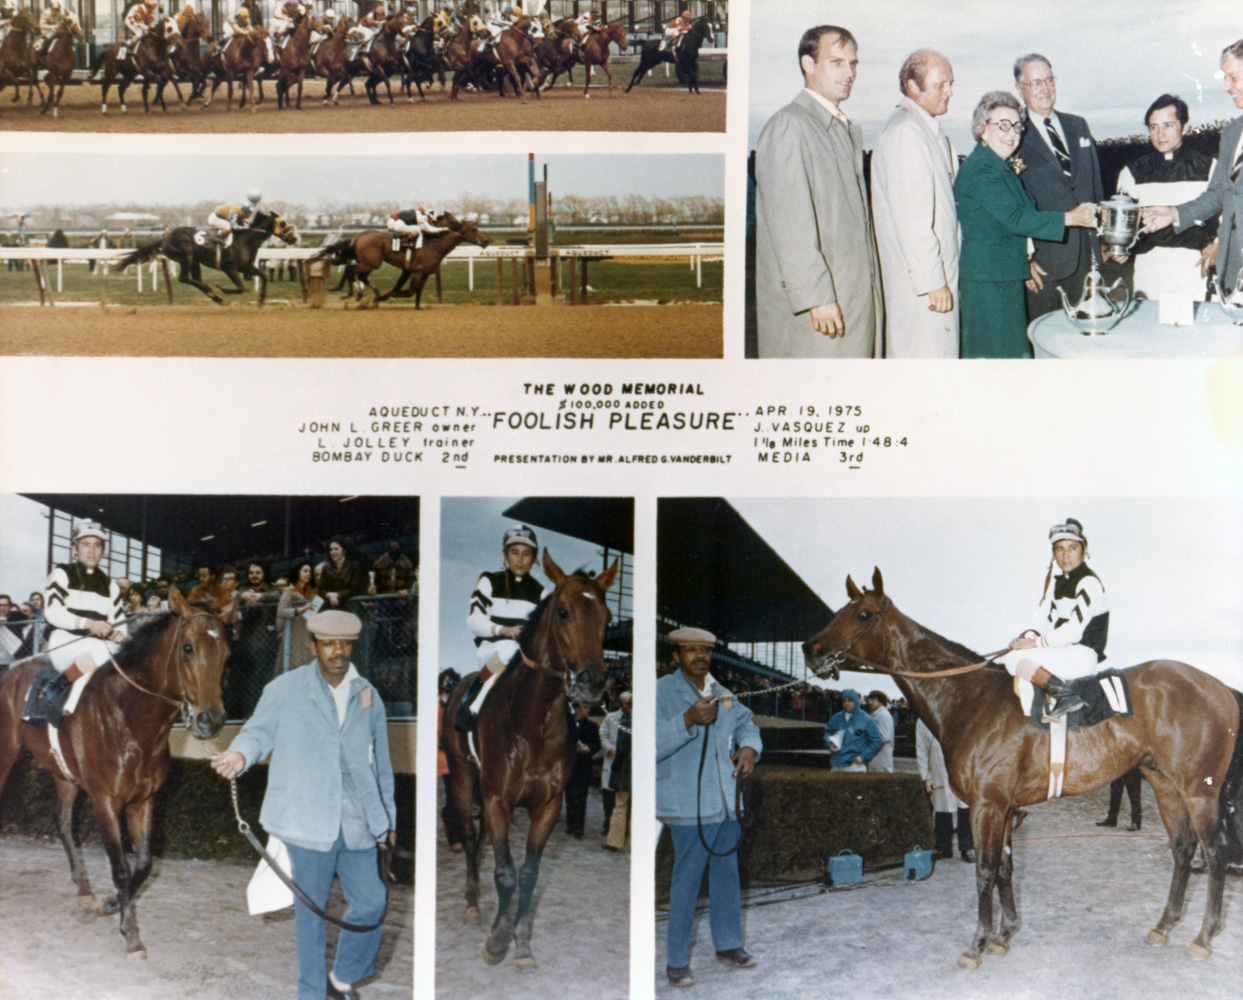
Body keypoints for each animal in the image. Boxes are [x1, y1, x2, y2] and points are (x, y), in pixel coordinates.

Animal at [0, 588, 233, 954]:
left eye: (226, 653)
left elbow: (144, 863)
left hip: (63, 773)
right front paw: (130, 932)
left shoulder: (144, 801)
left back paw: (84, 891)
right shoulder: (105, 803)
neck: (130, 717)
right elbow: (121, 867)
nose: (210, 720)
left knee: (63, 822)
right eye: (188, 648)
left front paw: (110, 903)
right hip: (6, 754)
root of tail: (10, 670)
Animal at [116, 207, 300, 301]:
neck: (244, 240)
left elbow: (264, 276)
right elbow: (241, 287)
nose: (293, 238)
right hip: (186, 257)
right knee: (184, 278)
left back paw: (213, 295)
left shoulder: (246, 267)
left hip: (194, 261)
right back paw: (214, 293)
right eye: (283, 223)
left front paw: (261, 300)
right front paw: (222, 288)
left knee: (195, 279)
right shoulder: (230, 268)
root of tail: (165, 238)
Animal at [310, 216, 489, 310]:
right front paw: (387, 295)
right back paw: (351, 293)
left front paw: (417, 306)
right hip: (371, 263)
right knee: (350, 270)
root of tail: (359, 236)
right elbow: (409, 290)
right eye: (473, 229)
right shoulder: (415, 271)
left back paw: (361, 294)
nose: (486, 241)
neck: (433, 244)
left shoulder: (420, 272)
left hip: (369, 263)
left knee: (357, 274)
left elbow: (417, 290)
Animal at [440, 549, 619, 973]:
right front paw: (497, 941)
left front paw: (520, 943)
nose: (593, 683)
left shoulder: (548, 805)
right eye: (564, 612)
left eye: (608, 618)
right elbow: (506, 873)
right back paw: (472, 903)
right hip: (461, 777)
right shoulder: (497, 800)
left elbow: (530, 873)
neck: (533, 722)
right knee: (469, 837)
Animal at [805, 568, 1243, 968]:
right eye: (841, 608)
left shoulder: (987, 805)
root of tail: (1220, 686)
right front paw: (1004, 934)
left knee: (1216, 852)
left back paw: (1203, 937)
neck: (968, 698)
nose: (811, 647)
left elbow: (984, 870)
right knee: (1183, 848)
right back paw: (1164, 926)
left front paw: (977, 944)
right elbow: (1005, 868)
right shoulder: (1006, 807)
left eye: (863, 613)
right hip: (1166, 785)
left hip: (1200, 791)